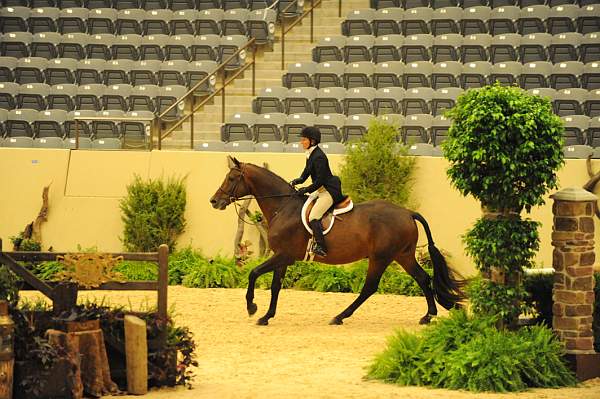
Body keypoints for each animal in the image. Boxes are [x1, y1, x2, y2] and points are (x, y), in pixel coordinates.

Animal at [210, 155, 464, 326]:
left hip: (381, 257)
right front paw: (266, 316)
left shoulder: (284, 255)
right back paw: (428, 316)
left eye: (231, 178)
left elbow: (254, 274)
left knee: (370, 287)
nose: (214, 201)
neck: (283, 207)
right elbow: (275, 286)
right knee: (422, 278)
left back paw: (340, 316)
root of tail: (408, 212)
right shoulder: (282, 258)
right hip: (403, 255)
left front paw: (252, 307)